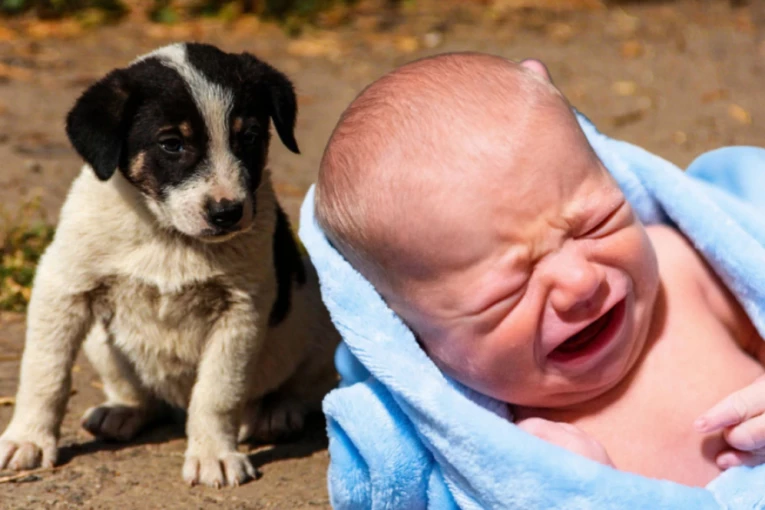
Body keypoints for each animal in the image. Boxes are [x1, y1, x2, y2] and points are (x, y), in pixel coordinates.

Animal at [0, 42, 338, 486]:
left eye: (249, 136)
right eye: (172, 143)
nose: (228, 212)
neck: (168, 235)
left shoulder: (241, 312)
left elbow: (217, 393)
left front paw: (214, 454)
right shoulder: (64, 286)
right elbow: (45, 373)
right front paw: (28, 438)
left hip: (319, 319)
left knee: (305, 387)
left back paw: (276, 412)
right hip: (101, 344)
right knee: (141, 395)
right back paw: (122, 412)